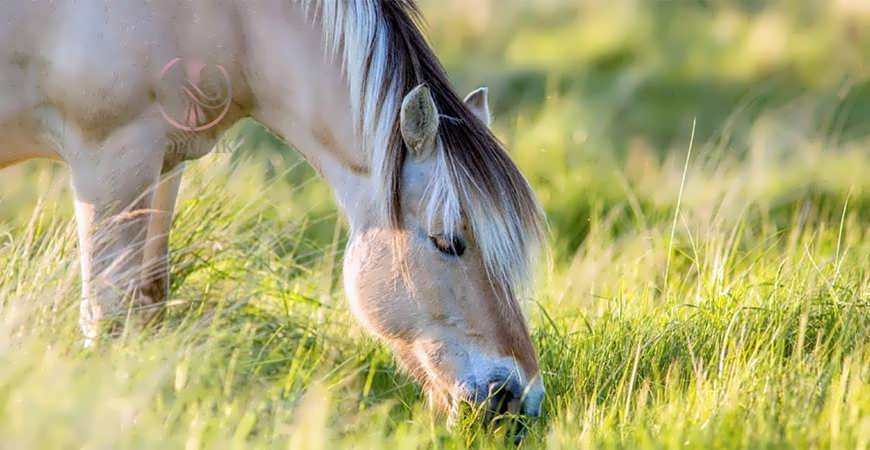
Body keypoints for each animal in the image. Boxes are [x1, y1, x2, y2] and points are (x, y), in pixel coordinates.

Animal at [0, 0, 544, 418]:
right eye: (448, 242)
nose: (521, 398)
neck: (224, 19)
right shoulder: (110, 156)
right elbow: (109, 314)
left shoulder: (162, 164)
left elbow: (149, 299)